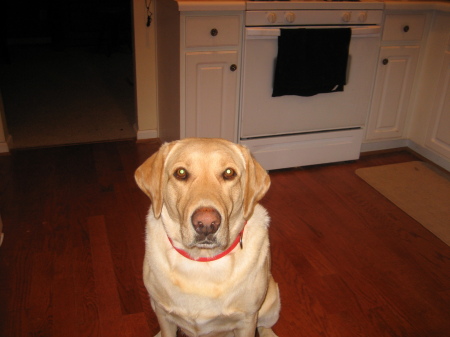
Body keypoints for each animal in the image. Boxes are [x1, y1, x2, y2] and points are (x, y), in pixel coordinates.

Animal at [135, 137, 280, 336]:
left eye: (229, 173)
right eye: (180, 173)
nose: (206, 223)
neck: (203, 261)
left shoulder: (247, 320)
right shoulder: (163, 314)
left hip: (271, 302)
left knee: (265, 326)